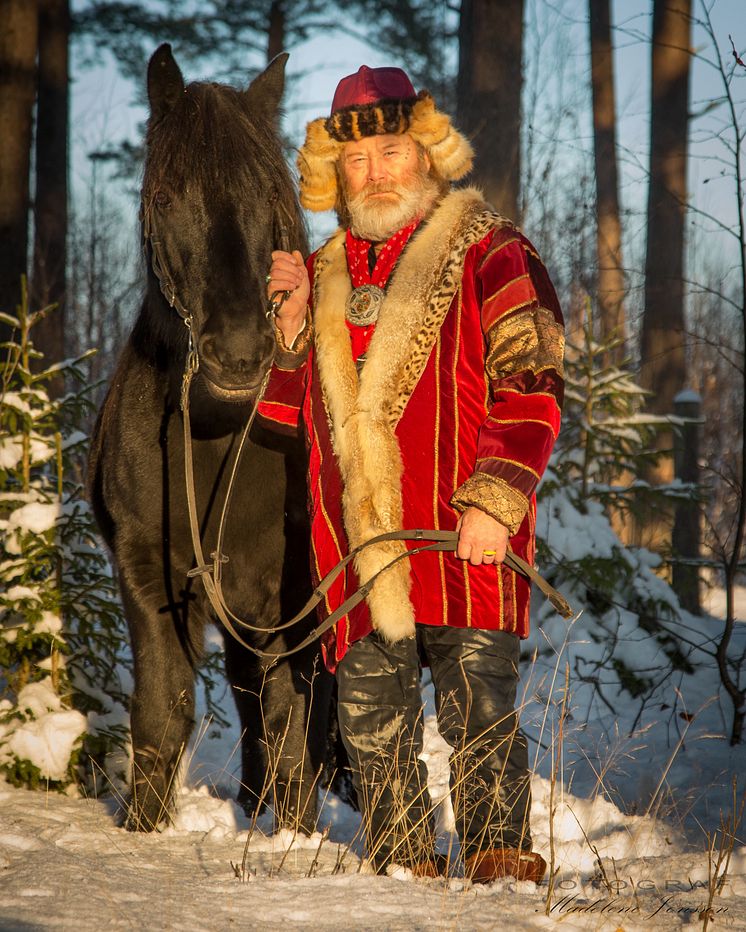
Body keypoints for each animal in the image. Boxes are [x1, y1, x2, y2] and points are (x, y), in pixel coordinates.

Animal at [87, 45, 332, 832]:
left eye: (269, 196)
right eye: (166, 198)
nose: (240, 354)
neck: (219, 440)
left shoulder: (292, 593)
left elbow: (290, 722)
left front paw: (296, 840)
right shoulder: (149, 574)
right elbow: (161, 711)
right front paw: (144, 828)